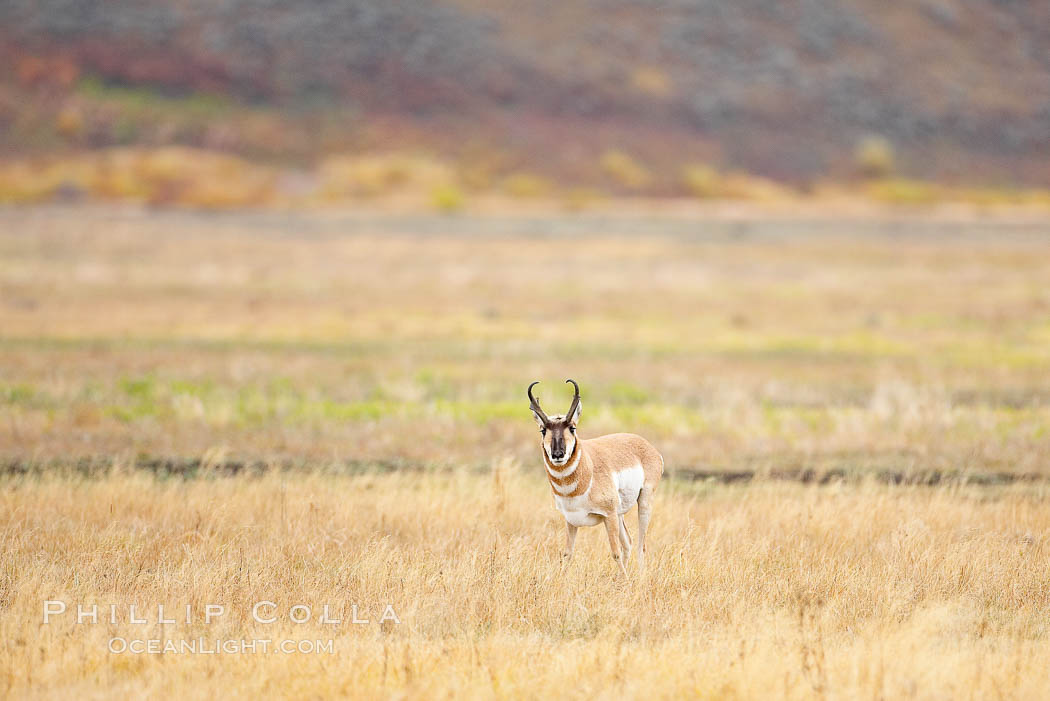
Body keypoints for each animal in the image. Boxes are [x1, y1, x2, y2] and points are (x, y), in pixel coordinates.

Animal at [525, 377, 663, 575]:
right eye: (543, 430)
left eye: (572, 428)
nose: (558, 454)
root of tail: (645, 444)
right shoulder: (571, 521)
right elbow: (567, 554)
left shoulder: (608, 516)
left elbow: (615, 553)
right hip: (619, 514)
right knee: (628, 543)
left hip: (643, 503)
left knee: (639, 546)